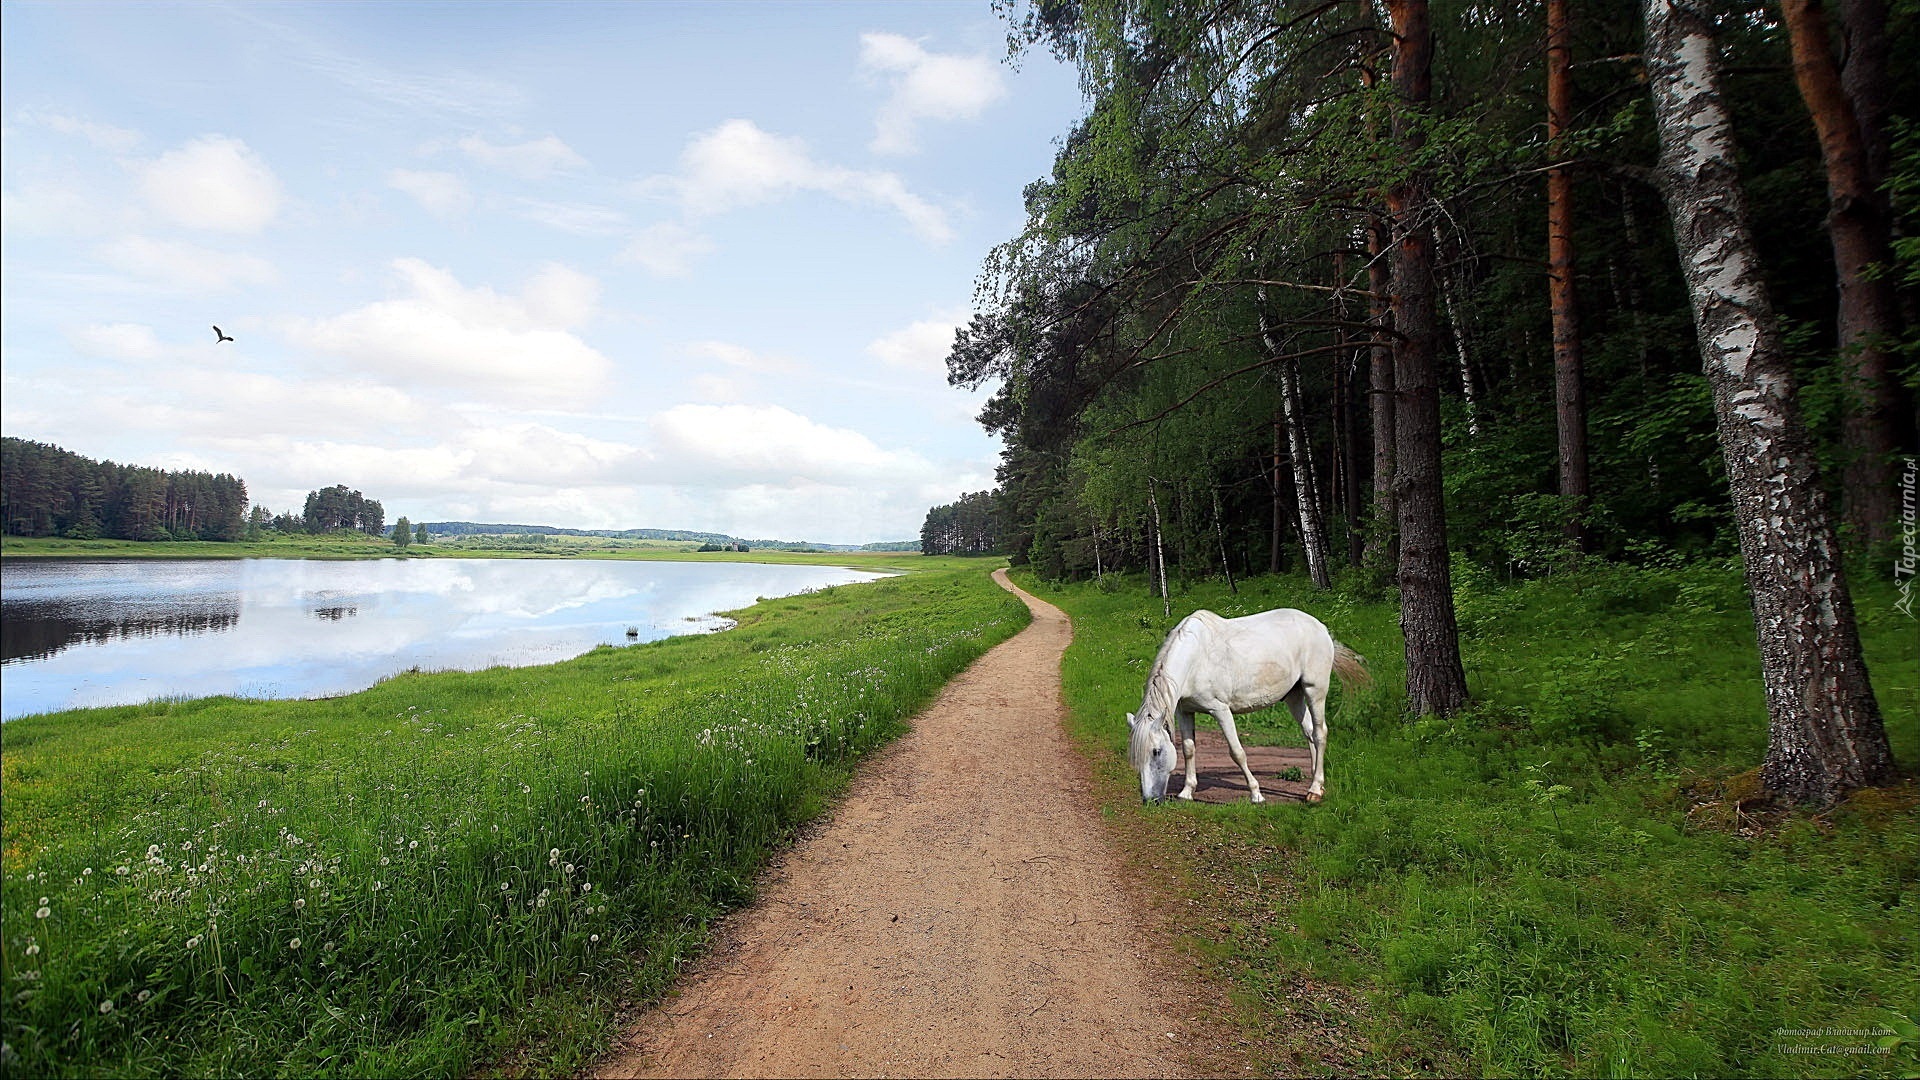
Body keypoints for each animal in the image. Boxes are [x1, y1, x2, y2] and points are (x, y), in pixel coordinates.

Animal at [1121, 607, 1367, 799]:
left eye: (1156, 752)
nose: (1151, 799)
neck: (1194, 659)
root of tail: (1321, 628)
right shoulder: (1185, 711)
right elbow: (1188, 749)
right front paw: (1187, 792)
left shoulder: (1220, 710)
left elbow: (1237, 752)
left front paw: (1256, 793)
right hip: (1294, 695)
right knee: (1309, 733)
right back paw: (1317, 783)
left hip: (1314, 689)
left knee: (1320, 733)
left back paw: (1315, 791)